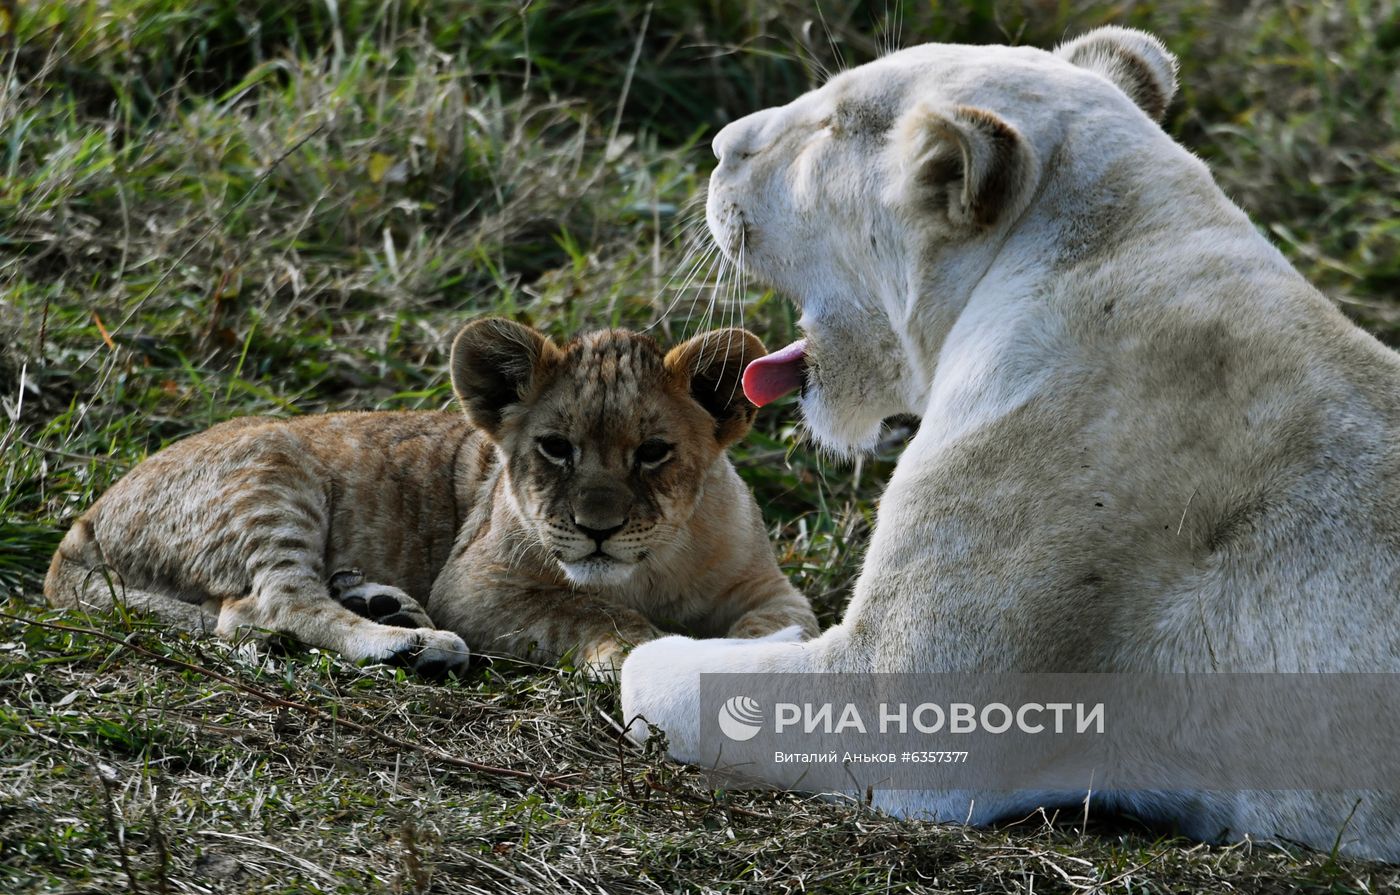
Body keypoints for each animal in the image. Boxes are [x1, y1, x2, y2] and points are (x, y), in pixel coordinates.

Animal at [45, 320, 819, 677]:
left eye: (653, 452)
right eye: (556, 448)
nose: (596, 528)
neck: (648, 569)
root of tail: (77, 530)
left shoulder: (768, 588)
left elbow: (783, 629)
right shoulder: (473, 583)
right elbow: (591, 607)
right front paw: (648, 655)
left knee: (241, 613)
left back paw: (383, 604)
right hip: (274, 469)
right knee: (273, 602)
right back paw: (412, 643)